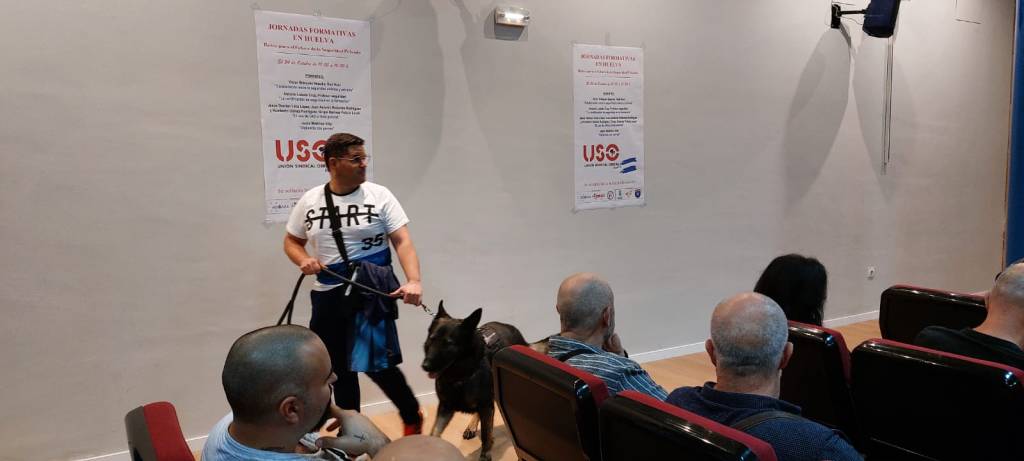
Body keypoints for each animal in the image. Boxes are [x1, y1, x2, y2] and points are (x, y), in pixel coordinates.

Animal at [421, 301, 527, 461]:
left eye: (448, 344)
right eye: (431, 340)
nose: (425, 366)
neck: (460, 376)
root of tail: (509, 326)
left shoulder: (486, 405)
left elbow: (486, 434)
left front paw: (485, 454)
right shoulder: (445, 407)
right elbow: (435, 432)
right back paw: (472, 426)